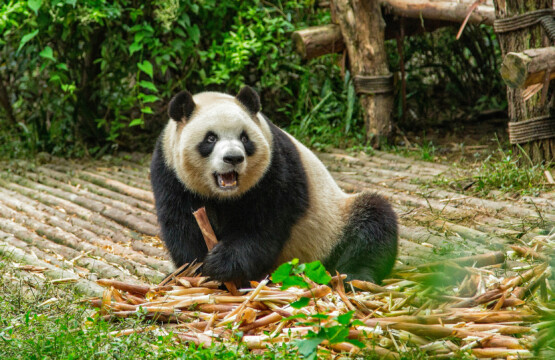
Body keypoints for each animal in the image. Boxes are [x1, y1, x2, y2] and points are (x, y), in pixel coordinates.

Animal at [150, 86, 398, 284]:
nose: (233, 158)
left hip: (334, 225)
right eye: (210, 138)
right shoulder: (170, 174)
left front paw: (221, 264)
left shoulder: (275, 170)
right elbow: (182, 223)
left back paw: (356, 276)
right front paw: (195, 269)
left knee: (373, 224)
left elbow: (263, 227)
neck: (225, 196)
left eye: (244, 138)